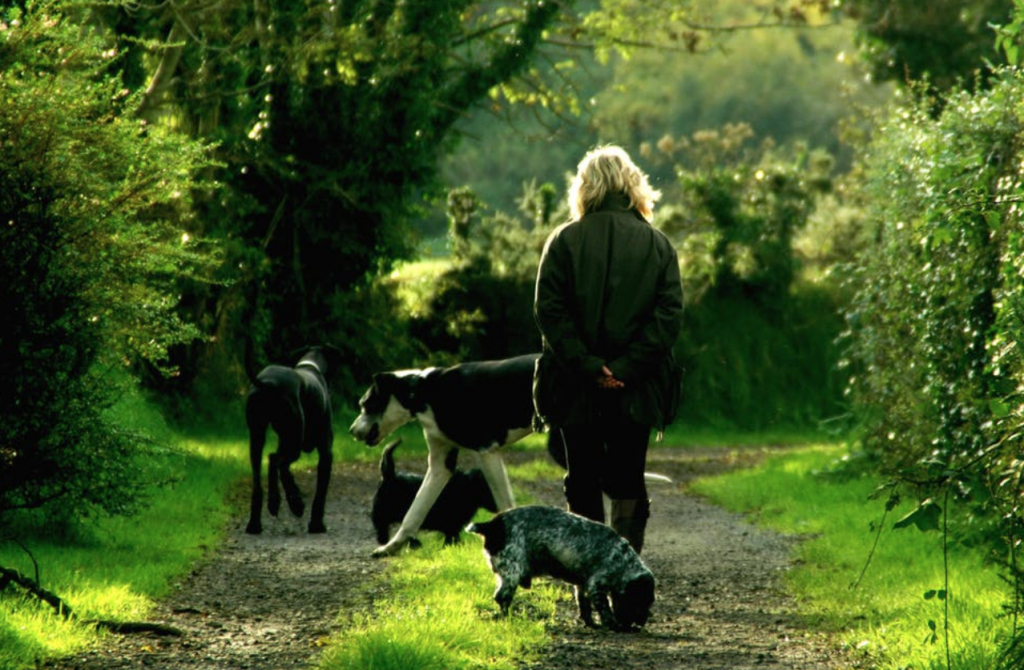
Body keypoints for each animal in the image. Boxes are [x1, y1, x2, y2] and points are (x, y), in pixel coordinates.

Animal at [246, 346, 344, 536]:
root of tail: (267, 383)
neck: (311, 365)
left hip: (257, 438)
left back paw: (256, 521)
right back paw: (293, 502)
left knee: (263, 474)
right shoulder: (326, 453)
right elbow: (320, 494)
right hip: (294, 440)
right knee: (277, 461)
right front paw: (316, 525)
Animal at [348, 354, 536, 557]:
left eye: (365, 404)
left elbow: (505, 503)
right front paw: (392, 546)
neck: (422, 392)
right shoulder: (440, 467)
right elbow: (413, 513)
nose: (351, 431)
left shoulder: (487, 452)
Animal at [468, 506, 655, 631]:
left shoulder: (582, 585)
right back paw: (508, 617)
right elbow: (605, 610)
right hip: (512, 572)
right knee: (502, 597)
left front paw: (590, 623)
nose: (642, 623)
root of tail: (492, 525)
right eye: (642, 601)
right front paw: (613, 625)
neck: (623, 560)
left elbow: (584, 606)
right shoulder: (596, 585)